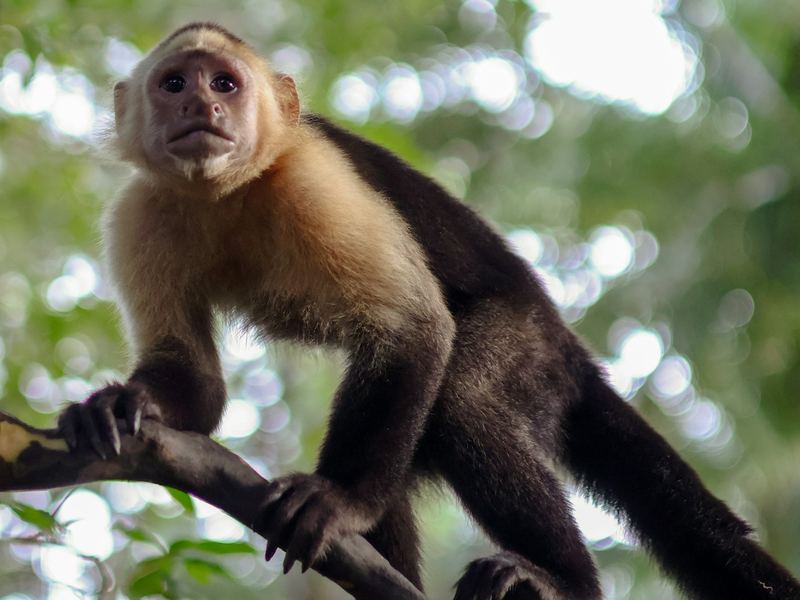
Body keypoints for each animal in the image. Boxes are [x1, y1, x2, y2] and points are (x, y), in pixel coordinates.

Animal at [55, 22, 800, 600]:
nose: (201, 106)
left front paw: (343, 504)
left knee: (462, 398)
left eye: (225, 84)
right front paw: (123, 404)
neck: (229, 191)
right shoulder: (141, 213)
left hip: (527, 349)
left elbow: (412, 327)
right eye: (174, 84)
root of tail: (570, 351)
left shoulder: (314, 178)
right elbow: (197, 385)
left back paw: (562, 581)